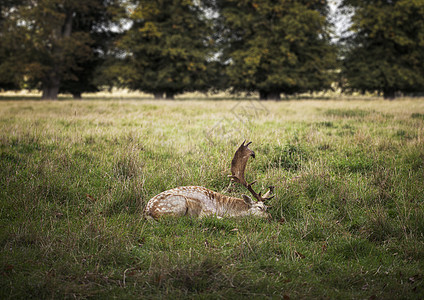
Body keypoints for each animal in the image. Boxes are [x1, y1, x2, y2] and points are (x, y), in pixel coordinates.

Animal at [144, 141, 274, 220]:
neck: (223, 208)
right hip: (179, 203)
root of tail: (147, 212)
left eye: (267, 207)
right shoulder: (206, 212)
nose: (270, 217)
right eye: (260, 207)